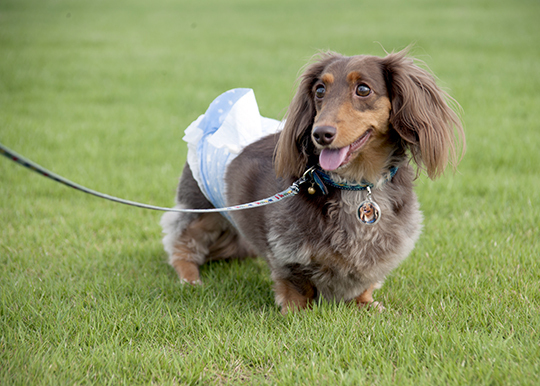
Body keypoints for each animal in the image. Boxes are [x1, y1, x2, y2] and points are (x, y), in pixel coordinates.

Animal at [161, 49, 464, 314]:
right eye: (320, 90)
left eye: (363, 89)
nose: (321, 134)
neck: (356, 185)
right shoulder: (287, 252)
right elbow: (296, 285)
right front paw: (297, 312)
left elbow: (365, 283)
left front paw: (368, 304)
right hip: (202, 210)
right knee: (181, 243)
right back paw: (190, 279)